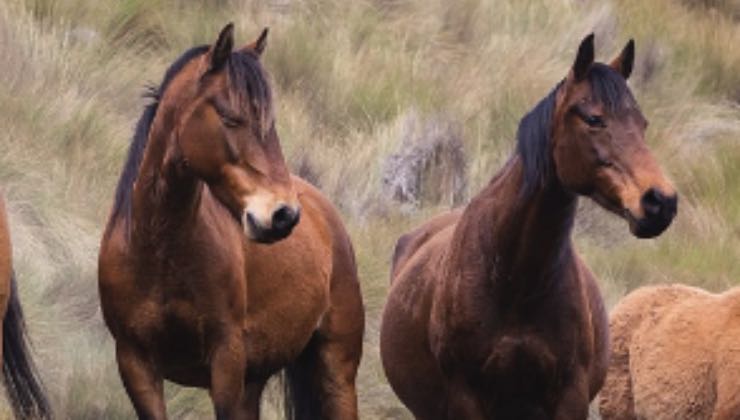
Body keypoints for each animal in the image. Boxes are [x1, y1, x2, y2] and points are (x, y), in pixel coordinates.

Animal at [98, 24, 364, 418]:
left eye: (269, 123)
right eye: (230, 118)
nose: (283, 215)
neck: (158, 251)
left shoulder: (226, 360)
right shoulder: (135, 363)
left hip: (336, 371)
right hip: (255, 380)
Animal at [378, 34, 680, 418]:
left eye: (642, 123)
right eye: (594, 118)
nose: (661, 202)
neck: (515, 277)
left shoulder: (569, 396)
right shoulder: (466, 397)